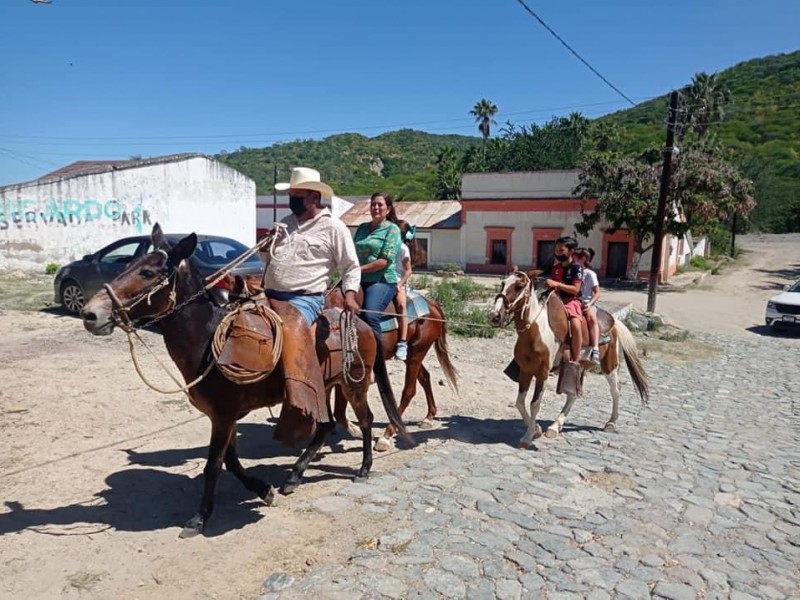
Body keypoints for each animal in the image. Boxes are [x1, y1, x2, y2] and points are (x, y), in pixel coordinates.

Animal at [81, 223, 410, 536]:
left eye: (148, 273)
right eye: (128, 264)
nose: (90, 314)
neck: (207, 341)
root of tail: (360, 321)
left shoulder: (223, 415)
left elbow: (214, 465)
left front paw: (200, 518)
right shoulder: (223, 416)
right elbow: (230, 460)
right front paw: (263, 490)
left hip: (354, 384)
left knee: (365, 420)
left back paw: (364, 468)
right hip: (321, 388)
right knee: (326, 426)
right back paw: (294, 475)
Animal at [324, 286, 460, 450]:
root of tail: (431, 304)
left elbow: (338, 412)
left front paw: (358, 431)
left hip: (417, 353)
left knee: (409, 391)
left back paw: (387, 435)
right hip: (410, 356)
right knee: (425, 377)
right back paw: (429, 417)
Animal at [488, 270, 648, 448]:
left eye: (519, 286)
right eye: (503, 283)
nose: (494, 315)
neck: (535, 332)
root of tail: (615, 322)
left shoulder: (542, 373)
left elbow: (535, 404)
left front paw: (527, 437)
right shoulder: (526, 371)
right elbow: (520, 403)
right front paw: (536, 429)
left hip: (609, 365)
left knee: (615, 390)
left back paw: (611, 422)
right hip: (578, 366)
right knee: (573, 395)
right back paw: (555, 426)